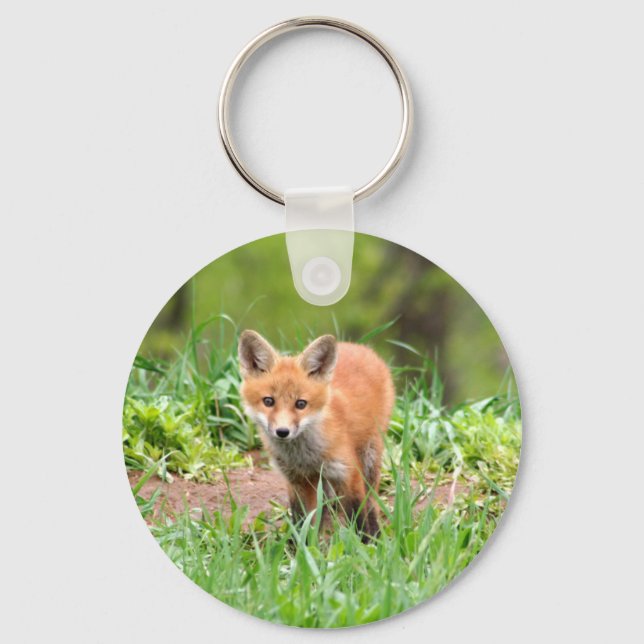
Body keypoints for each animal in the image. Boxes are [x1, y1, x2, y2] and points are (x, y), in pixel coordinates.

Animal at [238, 330, 394, 540]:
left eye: (301, 404)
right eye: (268, 401)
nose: (282, 432)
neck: (305, 457)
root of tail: (359, 346)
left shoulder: (348, 473)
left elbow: (359, 516)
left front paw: (366, 544)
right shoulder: (297, 480)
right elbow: (301, 521)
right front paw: (300, 547)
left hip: (370, 457)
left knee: (371, 502)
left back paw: (375, 533)